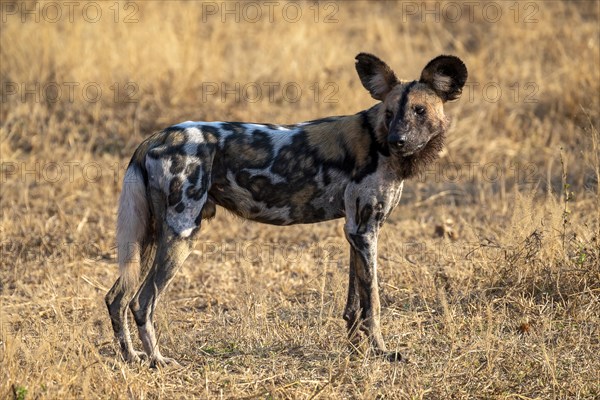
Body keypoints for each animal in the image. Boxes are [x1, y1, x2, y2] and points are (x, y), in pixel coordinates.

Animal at [106, 52, 468, 366]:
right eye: (390, 113)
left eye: (419, 111)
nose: (397, 141)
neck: (378, 140)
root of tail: (153, 139)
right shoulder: (365, 232)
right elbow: (373, 303)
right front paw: (381, 352)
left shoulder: (357, 231)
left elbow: (355, 303)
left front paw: (355, 351)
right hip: (181, 234)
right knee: (142, 302)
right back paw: (157, 359)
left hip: (150, 239)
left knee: (117, 298)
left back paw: (131, 357)